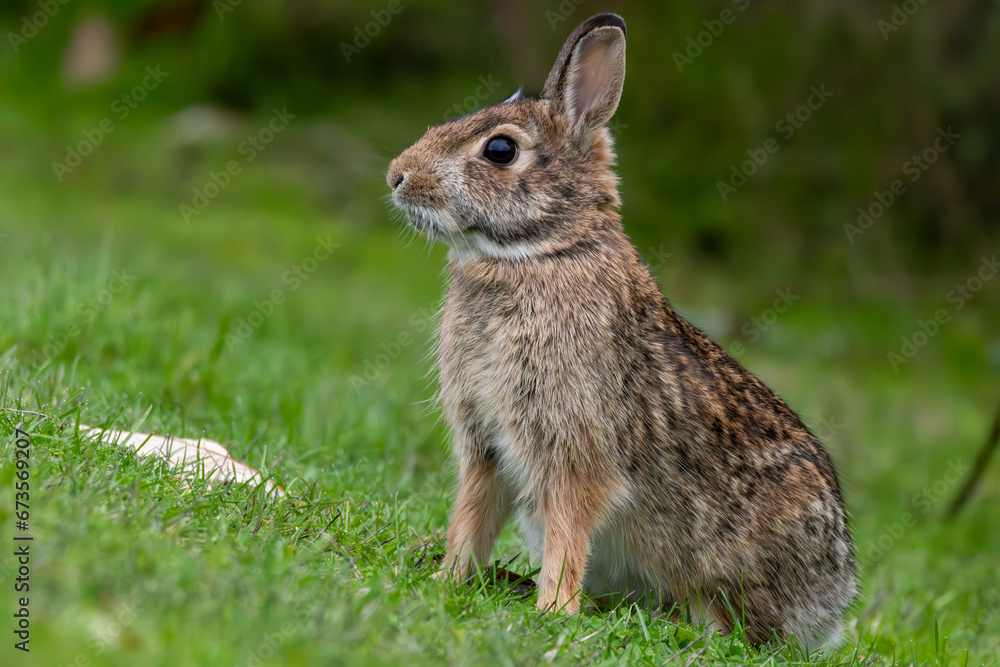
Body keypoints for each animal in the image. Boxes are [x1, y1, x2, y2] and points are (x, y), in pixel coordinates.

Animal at [385, 13, 857, 649]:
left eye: (501, 149)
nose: (397, 175)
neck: (545, 251)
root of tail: (833, 604)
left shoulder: (575, 448)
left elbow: (569, 528)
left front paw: (553, 610)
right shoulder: (486, 443)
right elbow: (472, 515)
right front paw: (446, 579)